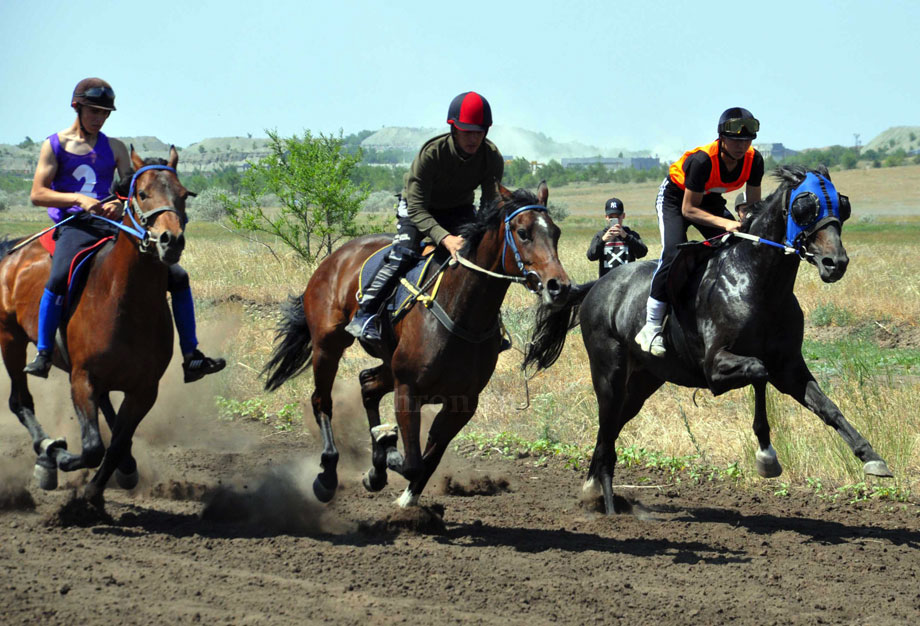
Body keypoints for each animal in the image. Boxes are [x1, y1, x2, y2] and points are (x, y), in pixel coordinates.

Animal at [0, 147, 190, 508]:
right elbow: (92, 447)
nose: (170, 240)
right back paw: (45, 450)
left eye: (184, 195)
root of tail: (11, 253)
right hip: (10, 339)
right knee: (20, 401)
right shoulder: (82, 377)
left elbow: (116, 442)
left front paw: (98, 486)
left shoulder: (145, 389)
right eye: (142, 194)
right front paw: (57, 457)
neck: (126, 301)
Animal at [262, 180, 572, 508]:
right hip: (327, 345)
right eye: (523, 232)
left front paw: (399, 488)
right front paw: (388, 452)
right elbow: (412, 462)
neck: (461, 311)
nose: (559, 287)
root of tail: (335, 258)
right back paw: (327, 477)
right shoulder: (408, 389)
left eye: (556, 232)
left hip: (387, 361)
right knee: (322, 401)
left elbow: (429, 460)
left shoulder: (463, 402)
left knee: (367, 383)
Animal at [524, 165, 892, 512]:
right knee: (606, 425)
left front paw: (872, 457)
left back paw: (593, 489)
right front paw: (766, 456)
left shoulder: (789, 366)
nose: (835, 263)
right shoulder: (716, 368)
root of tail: (597, 286)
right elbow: (759, 371)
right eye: (804, 206)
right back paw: (606, 498)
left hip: (644, 381)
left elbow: (827, 407)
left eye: (842, 205)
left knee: (611, 429)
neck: (757, 281)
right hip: (608, 373)